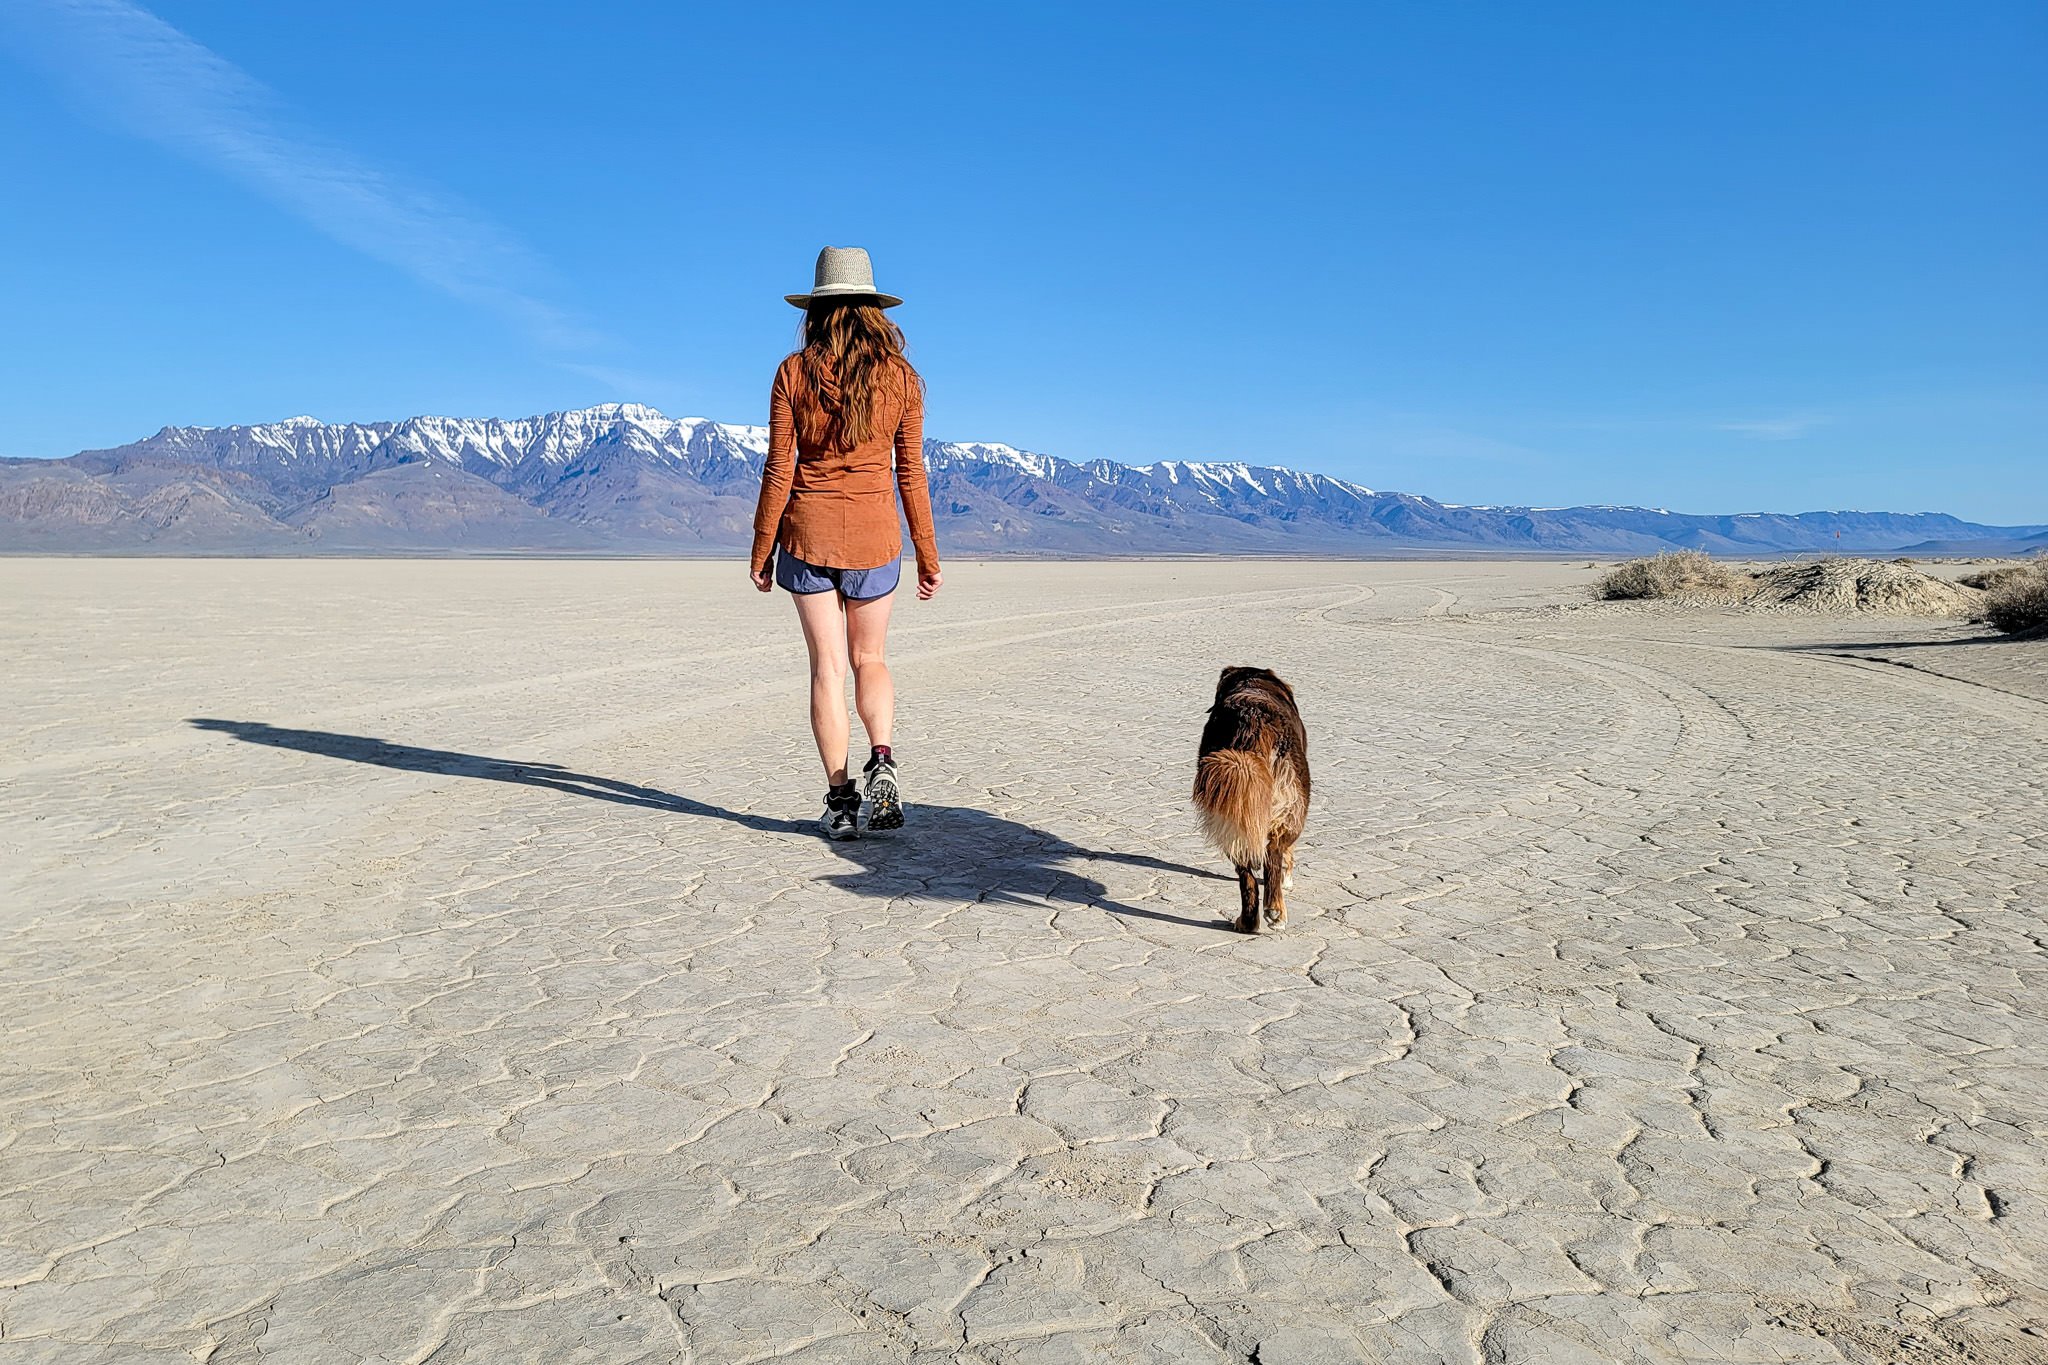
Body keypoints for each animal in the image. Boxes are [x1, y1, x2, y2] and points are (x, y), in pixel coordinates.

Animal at [1196, 667, 1302, 933]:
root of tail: (1253, 721)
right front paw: (1288, 880)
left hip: (1231, 813)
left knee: (1246, 876)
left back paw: (1248, 921)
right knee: (1274, 853)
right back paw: (1274, 912)